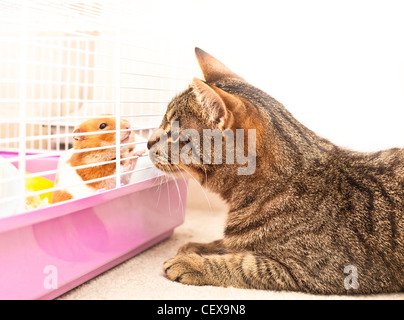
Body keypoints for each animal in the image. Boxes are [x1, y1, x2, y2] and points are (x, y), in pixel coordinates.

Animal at [147, 48, 402, 296]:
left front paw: (193, 262)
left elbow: (243, 264)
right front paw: (199, 247)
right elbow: (229, 243)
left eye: (174, 133)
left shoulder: (316, 270)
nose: (148, 142)